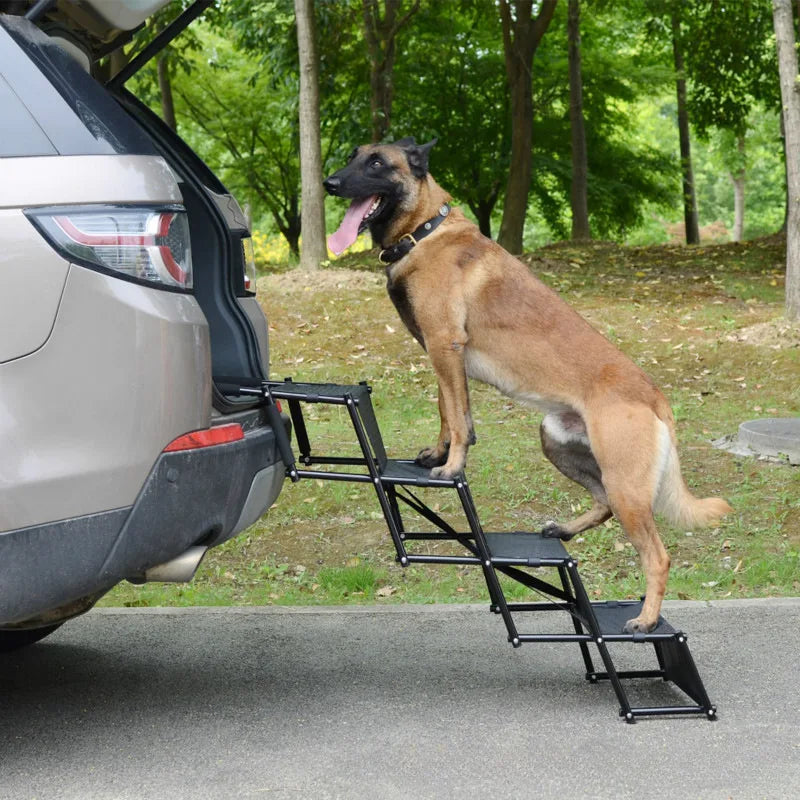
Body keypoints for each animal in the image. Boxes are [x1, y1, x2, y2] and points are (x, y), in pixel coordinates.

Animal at [324, 141, 732, 636]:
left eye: (377, 163)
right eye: (353, 156)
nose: (329, 183)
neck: (424, 230)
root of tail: (656, 398)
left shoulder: (445, 344)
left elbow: (456, 418)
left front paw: (451, 466)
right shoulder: (441, 354)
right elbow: (448, 410)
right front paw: (437, 455)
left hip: (626, 484)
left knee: (658, 555)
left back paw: (647, 619)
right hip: (557, 442)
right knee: (603, 503)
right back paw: (565, 531)